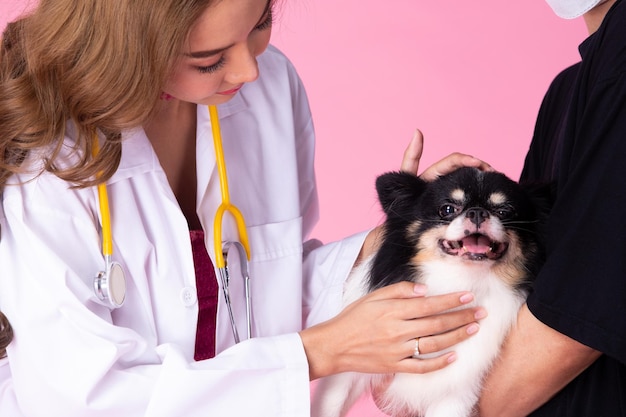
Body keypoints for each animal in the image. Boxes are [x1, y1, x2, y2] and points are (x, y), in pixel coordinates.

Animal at [312, 167, 544, 416]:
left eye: (504, 212)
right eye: (448, 209)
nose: (477, 212)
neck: (459, 280)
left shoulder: (455, 393)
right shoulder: (348, 371)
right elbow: (331, 404)